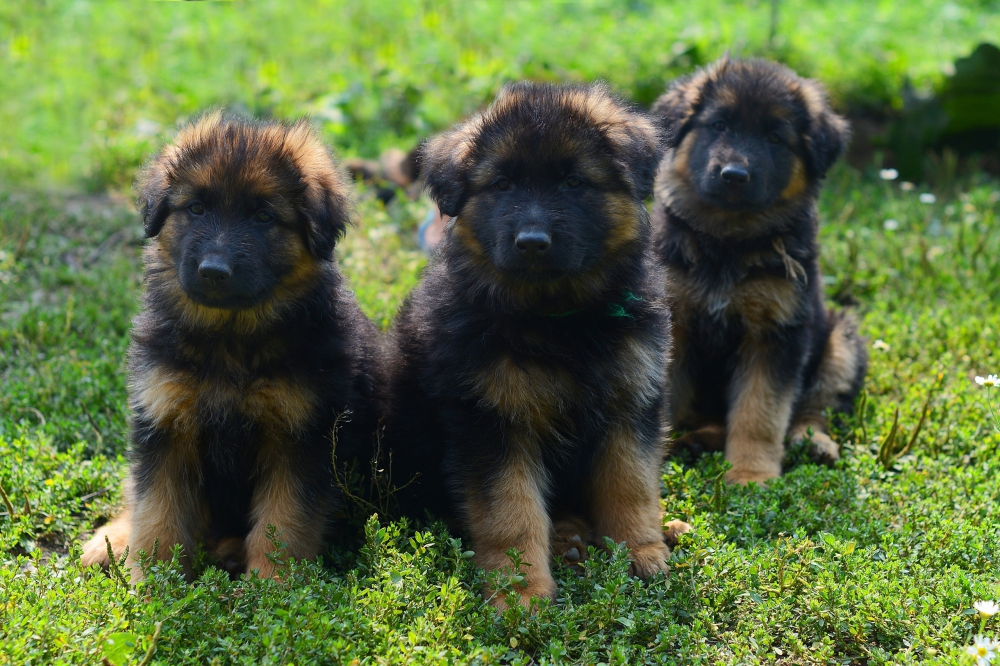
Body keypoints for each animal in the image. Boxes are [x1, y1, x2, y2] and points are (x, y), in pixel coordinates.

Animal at [79, 111, 378, 580]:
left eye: (263, 216)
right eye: (196, 208)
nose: (214, 271)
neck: (230, 338)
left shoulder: (299, 436)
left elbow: (284, 521)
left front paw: (273, 585)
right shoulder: (164, 421)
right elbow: (157, 511)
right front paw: (154, 582)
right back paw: (112, 539)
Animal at [382, 81, 680, 608]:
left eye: (574, 183)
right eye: (502, 186)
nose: (532, 242)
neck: (558, 321)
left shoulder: (631, 403)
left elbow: (630, 485)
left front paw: (641, 552)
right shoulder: (493, 423)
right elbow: (512, 514)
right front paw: (521, 595)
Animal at [648, 57, 868, 482]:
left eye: (775, 138)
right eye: (719, 125)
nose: (734, 175)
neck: (729, 243)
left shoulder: (776, 334)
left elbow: (760, 412)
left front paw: (751, 475)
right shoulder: (674, 324)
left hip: (840, 342)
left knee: (816, 406)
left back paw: (814, 443)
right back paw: (694, 441)